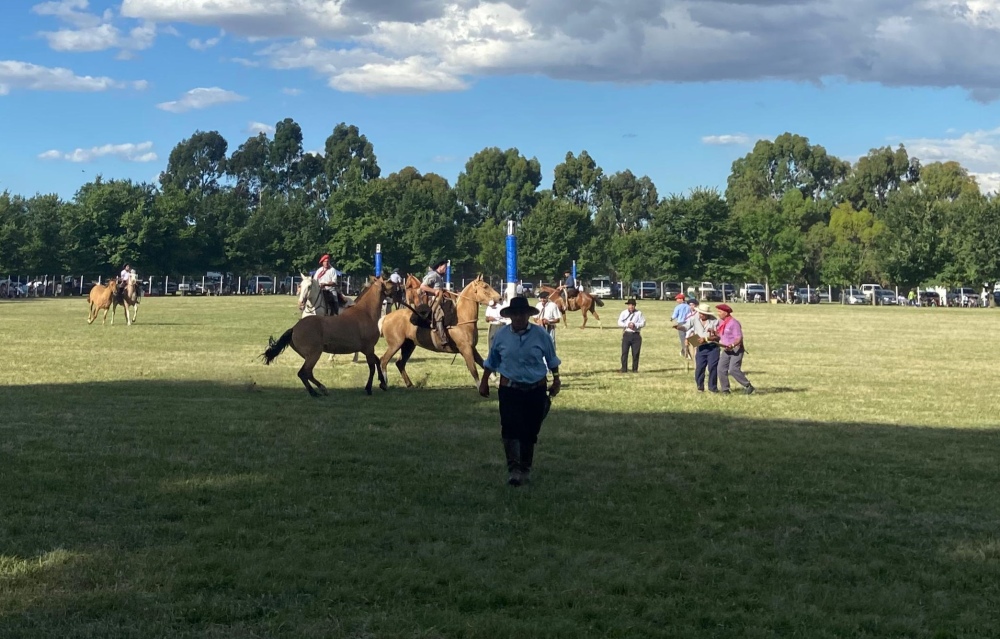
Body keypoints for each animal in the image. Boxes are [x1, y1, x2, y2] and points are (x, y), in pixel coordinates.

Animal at [260, 278, 396, 398]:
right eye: (390, 283)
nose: (399, 287)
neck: (365, 313)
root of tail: (294, 328)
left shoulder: (367, 349)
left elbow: (377, 361)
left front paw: (383, 383)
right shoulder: (368, 348)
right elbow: (372, 367)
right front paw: (369, 388)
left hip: (309, 356)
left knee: (307, 373)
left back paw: (322, 389)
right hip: (314, 354)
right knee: (304, 373)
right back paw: (316, 392)